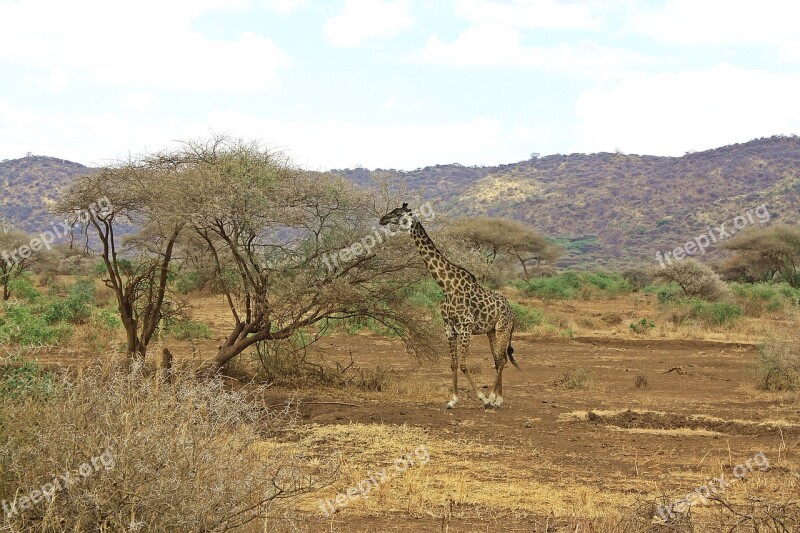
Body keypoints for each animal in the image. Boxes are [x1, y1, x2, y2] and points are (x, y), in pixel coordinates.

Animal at [380, 203, 520, 408]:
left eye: (397, 213)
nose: (382, 219)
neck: (445, 285)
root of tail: (513, 311)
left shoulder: (465, 327)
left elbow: (463, 364)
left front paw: (482, 398)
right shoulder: (449, 328)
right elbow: (453, 364)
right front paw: (452, 400)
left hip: (503, 328)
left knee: (501, 360)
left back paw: (495, 399)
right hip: (491, 331)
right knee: (498, 359)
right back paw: (498, 398)